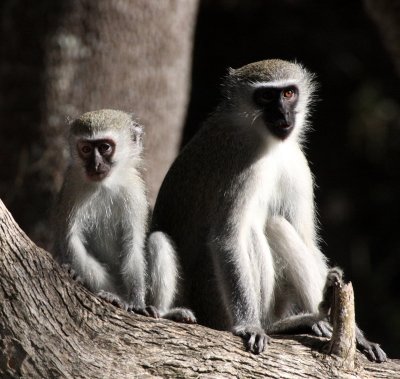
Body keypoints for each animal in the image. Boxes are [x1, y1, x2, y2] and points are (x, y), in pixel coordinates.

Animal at [54, 108, 155, 316]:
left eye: (105, 147)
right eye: (86, 149)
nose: (95, 165)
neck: (105, 185)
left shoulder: (135, 191)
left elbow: (133, 244)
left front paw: (136, 302)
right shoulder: (71, 186)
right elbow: (71, 238)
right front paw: (76, 274)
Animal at [151, 60, 388, 362]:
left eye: (288, 93)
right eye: (265, 96)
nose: (283, 114)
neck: (266, 141)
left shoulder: (297, 163)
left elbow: (307, 240)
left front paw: (357, 335)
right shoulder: (241, 168)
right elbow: (227, 238)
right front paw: (250, 325)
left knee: (278, 226)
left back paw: (318, 312)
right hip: (212, 302)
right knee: (257, 230)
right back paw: (274, 325)